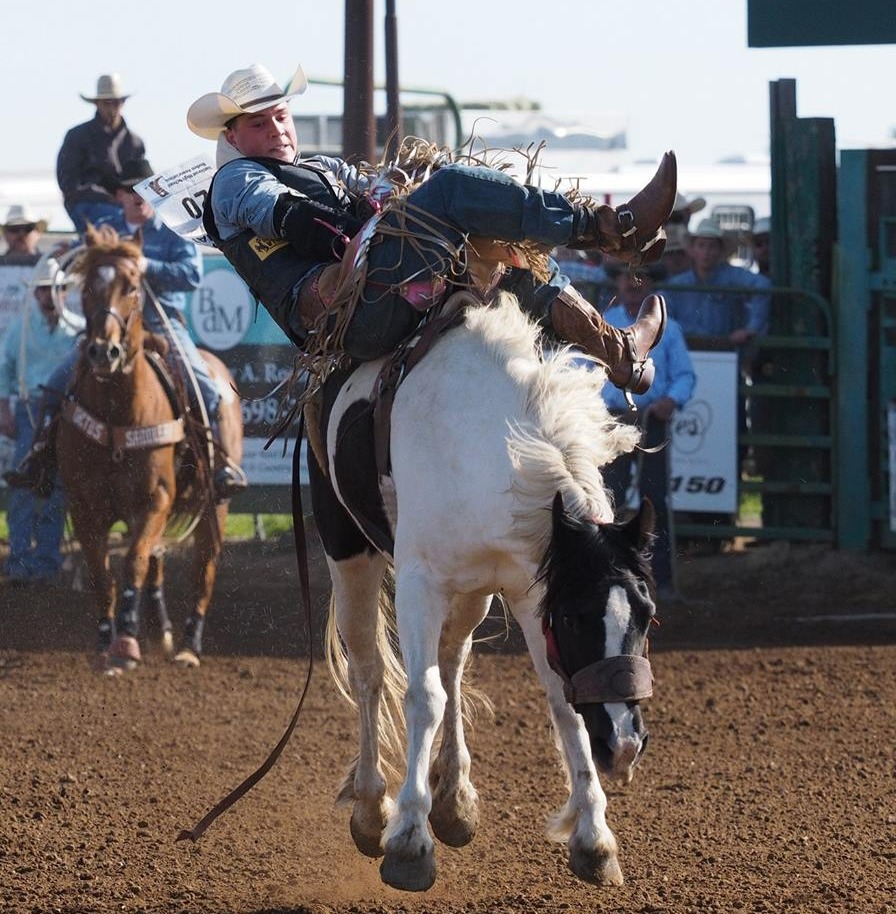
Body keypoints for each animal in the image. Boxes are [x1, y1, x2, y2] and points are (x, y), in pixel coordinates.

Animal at [57, 225, 243, 672]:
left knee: (203, 568)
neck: (118, 415)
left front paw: (125, 643)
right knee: (157, 563)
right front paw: (105, 642)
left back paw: (189, 646)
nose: (103, 351)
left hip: (215, 506)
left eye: (132, 287)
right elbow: (101, 573)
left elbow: (133, 562)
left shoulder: (154, 500)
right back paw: (163, 631)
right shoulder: (83, 506)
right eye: (86, 287)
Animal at [310, 292, 656, 892]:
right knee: (370, 671)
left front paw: (594, 838)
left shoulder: (529, 588)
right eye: (574, 618)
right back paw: (373, 807)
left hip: (474, 593)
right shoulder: (421, 583)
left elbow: (562, 702)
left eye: (647, 613)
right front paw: (408, 839)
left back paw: (453, 801)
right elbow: (421, 697)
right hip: (348, 551)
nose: (624, 744)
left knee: (451, 664)